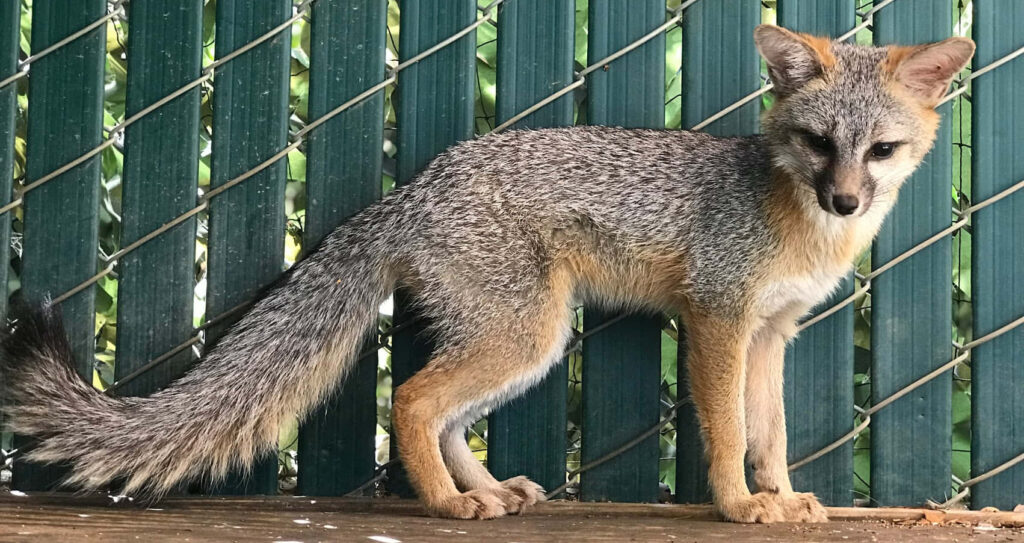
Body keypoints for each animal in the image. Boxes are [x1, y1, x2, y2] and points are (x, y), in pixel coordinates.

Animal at [0, 25, 974, 523]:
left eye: (880, 152)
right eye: (817, 141)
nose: (844, 199)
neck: (797, 223)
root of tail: (414, 185)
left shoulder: (770, 332)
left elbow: (770, 431)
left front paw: (780, 495)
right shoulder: (718, 320)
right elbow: (730, 430)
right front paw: (738, 506)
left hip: (528, 340)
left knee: (444, 415)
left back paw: (487, 492)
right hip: (527, 334)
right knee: (412, 401)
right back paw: (444, 506)